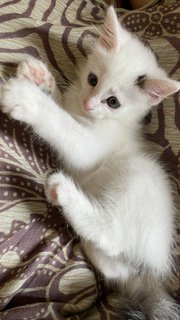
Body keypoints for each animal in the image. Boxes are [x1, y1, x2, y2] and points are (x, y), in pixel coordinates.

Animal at [0, 5, 180, 320]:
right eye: (92, 79)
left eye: (113, 102)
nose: (89, 103)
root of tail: (156, 269)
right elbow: (64, 108)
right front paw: (40, 77)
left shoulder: (90, 147)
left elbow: (64, 126)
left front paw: (29, 99)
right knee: (117, 264)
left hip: (137, 181)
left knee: (112, 234)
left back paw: (63, 191)